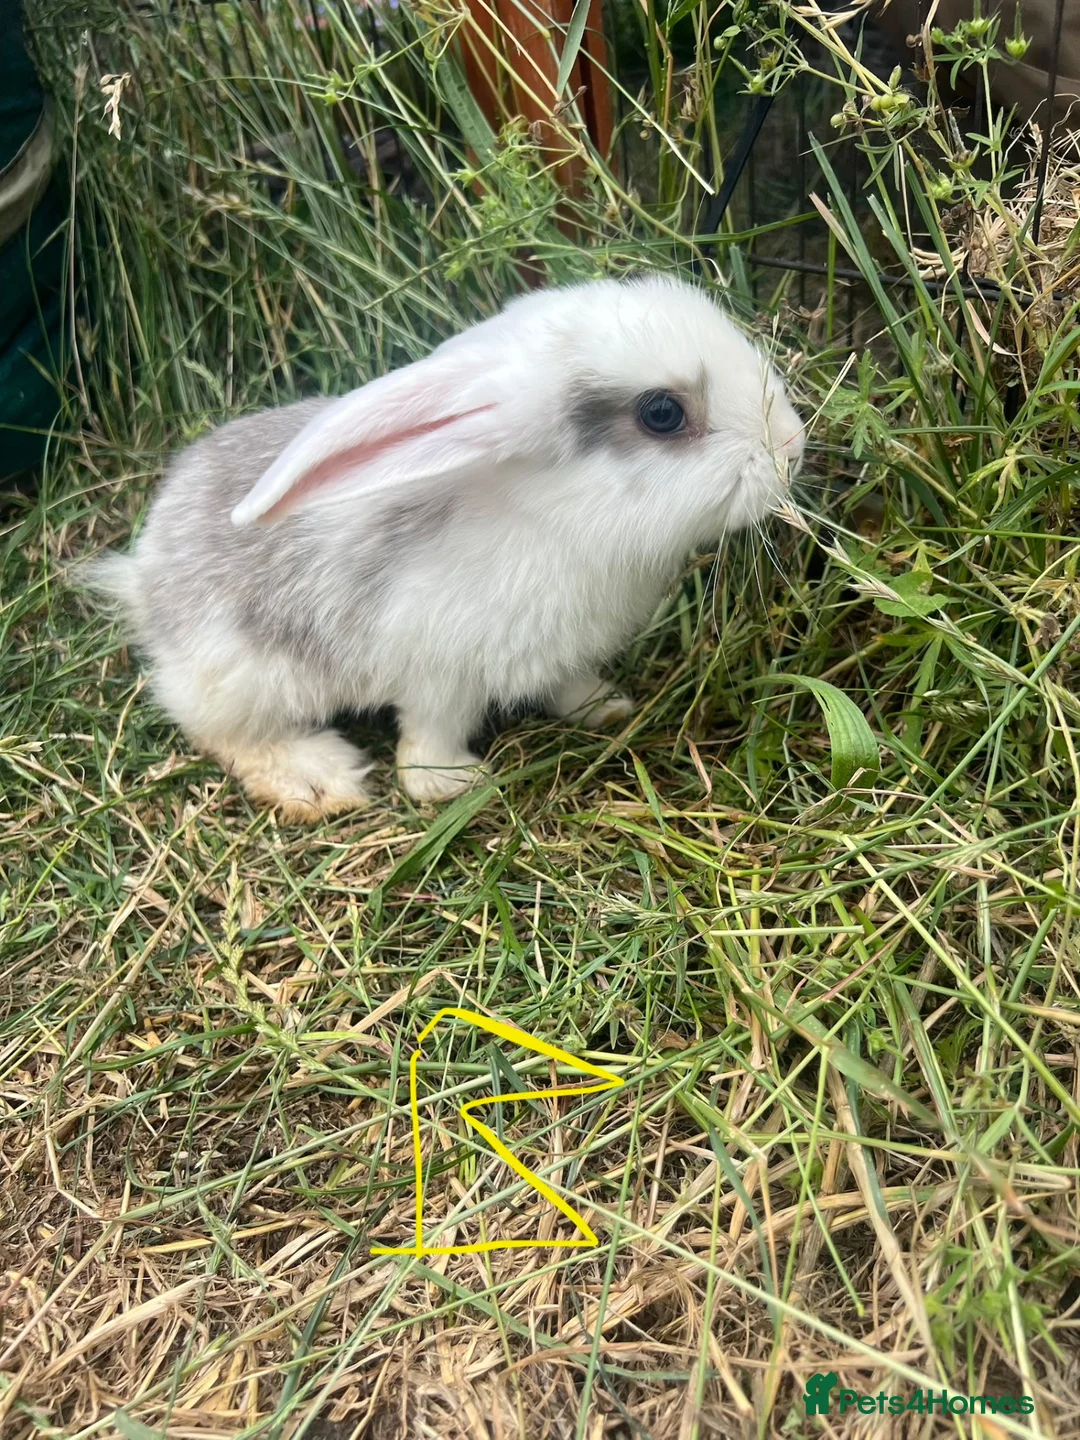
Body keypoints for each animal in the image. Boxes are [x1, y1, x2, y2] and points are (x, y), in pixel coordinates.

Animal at [86, 273, 804, 822]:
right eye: (662, 413)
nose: (794, 445)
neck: (554, 520)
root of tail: (145, 573)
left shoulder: (558, 656)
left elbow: (570, 686)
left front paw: (606, 706)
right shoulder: (441, 676)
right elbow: (430, 735)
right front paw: (451, 782)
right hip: (244, 677)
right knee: (223, 733)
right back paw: (318, 777)